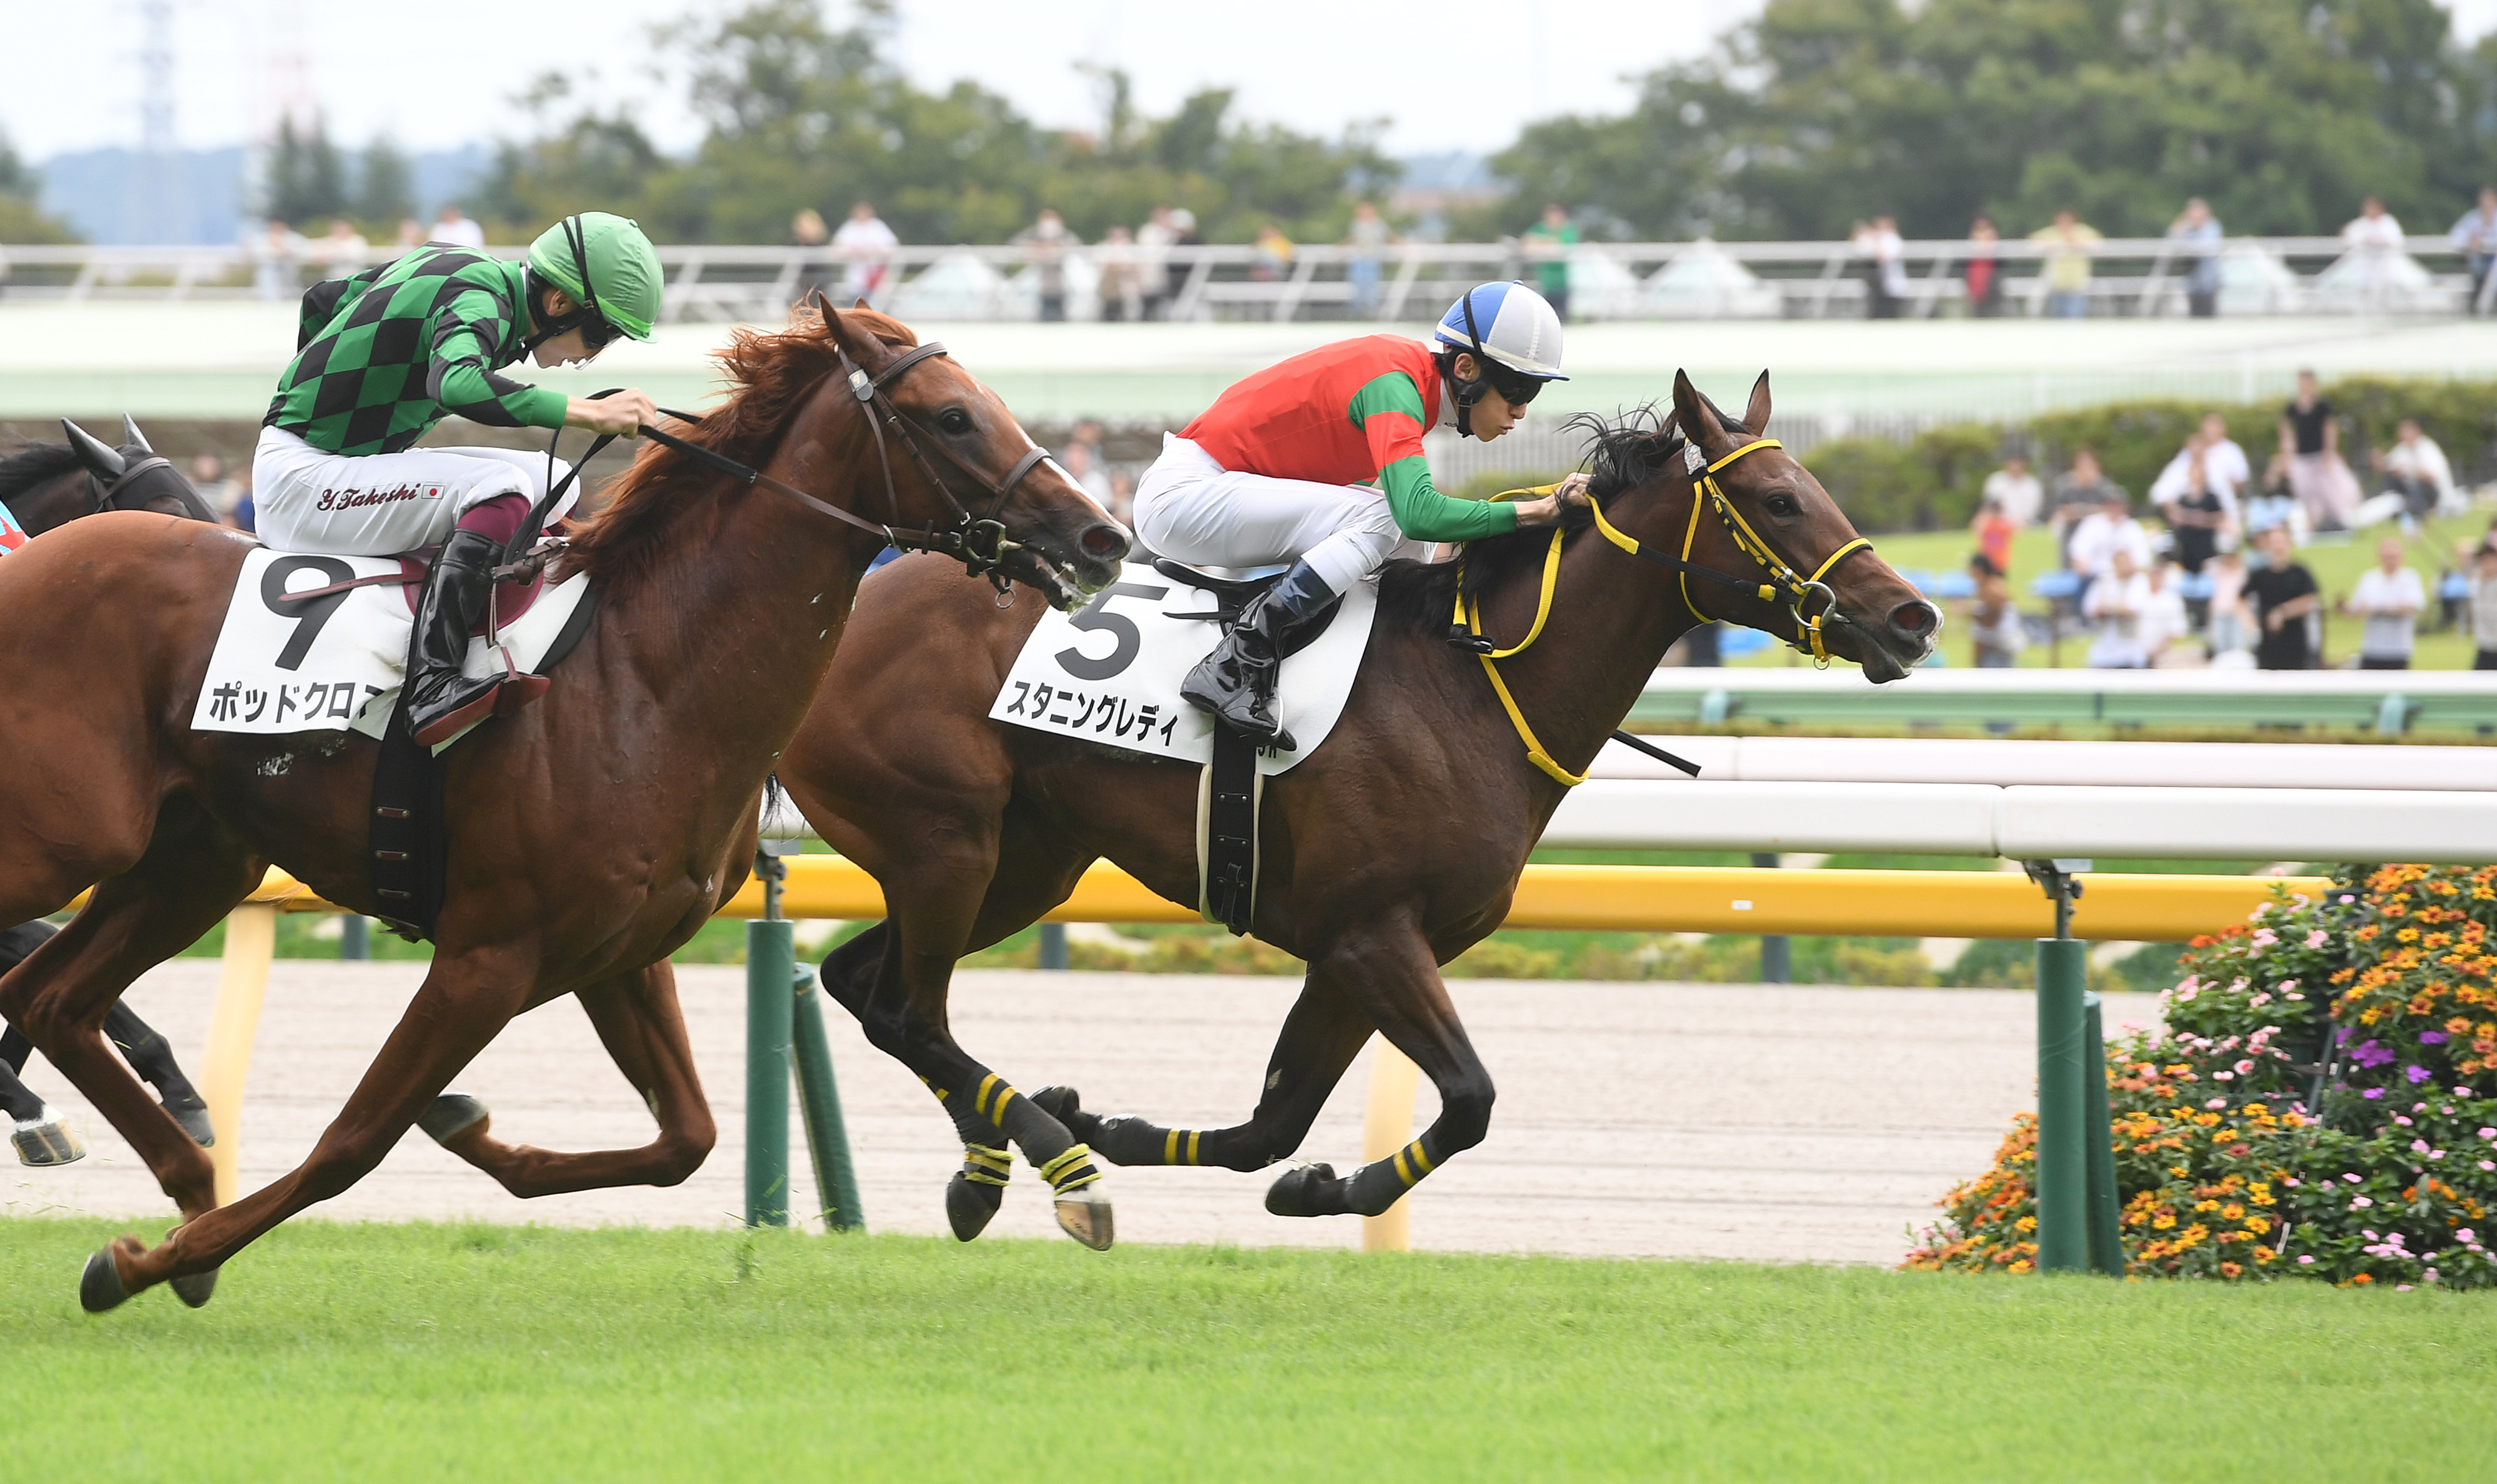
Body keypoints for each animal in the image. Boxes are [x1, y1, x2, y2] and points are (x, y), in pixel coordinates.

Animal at [0, 303, 1128, 1311]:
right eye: (953, 417)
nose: (1103, 534)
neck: (647, 675)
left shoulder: (615, 951)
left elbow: (686, 1137)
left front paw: (470, 1132)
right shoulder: (486, 955)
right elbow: (351, 1142)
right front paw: (146, 1262)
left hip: (192, 860)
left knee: (51, 999)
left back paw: (186, 1175)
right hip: (68, 838)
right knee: (44, 985)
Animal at [774, 370, 1938, 1237]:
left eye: (1816, 488)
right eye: (1781, 502)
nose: (1913, 617)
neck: (1471, 685)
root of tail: (838, 603)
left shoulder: (1350, 949)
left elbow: (1272, 1127)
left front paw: (1177, 1141)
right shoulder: (1375, 932)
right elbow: (1470, 1098)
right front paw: (1327, 1181)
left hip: (1023, 863)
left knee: (868, 985)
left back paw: (991, 1163)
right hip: (945, 842)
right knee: (906, 1007)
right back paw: (1043, 1158)